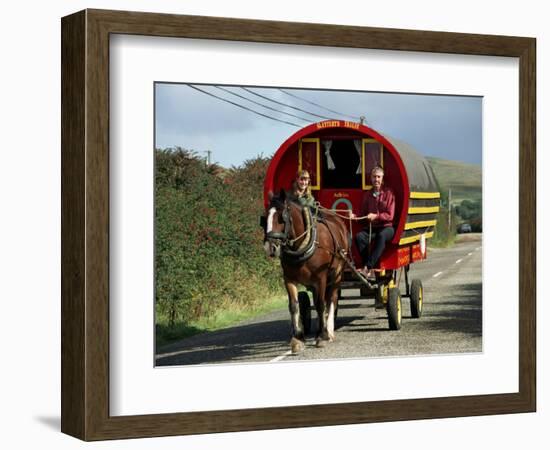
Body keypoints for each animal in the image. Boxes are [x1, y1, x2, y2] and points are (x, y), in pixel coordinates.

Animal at [264, 190, 352, 352]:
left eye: (281, 217)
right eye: (265, 216)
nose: (270, 247)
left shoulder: (321, 278)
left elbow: (320, 305)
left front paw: (321, 336)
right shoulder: (289, 279)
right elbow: (294, 305)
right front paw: (298, 338)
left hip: (337, 274)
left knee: (332, 299)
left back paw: (329, 330)